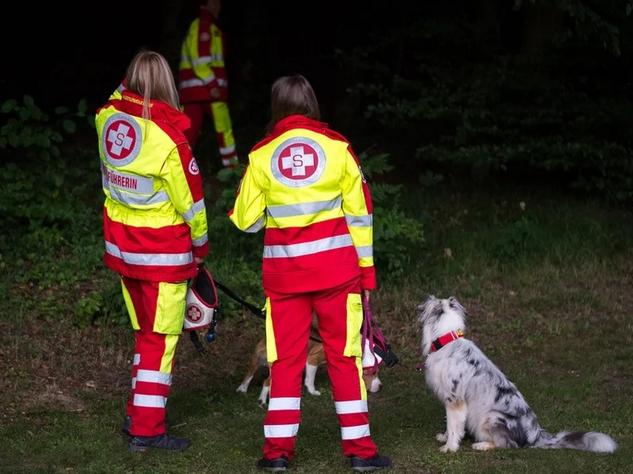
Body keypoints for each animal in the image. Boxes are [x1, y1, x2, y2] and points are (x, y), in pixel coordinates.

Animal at [236, 326, 380, 408]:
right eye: (373, 372)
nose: (381, 386)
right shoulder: (312, 360)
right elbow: (310, 380)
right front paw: (313, 392)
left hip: (255, 360)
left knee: (248, 375)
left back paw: (242, 390)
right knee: (266, 382)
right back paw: (262, 401)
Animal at [418, 294, 616, 454]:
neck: (447, 338)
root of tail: (536, 435)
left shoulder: (455, 400)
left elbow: (454, 427)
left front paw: (449, 447)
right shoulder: (449, 400)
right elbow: (450, 424)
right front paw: (445, 438)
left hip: (491, 417)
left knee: (507, 444)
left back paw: (481, 445)